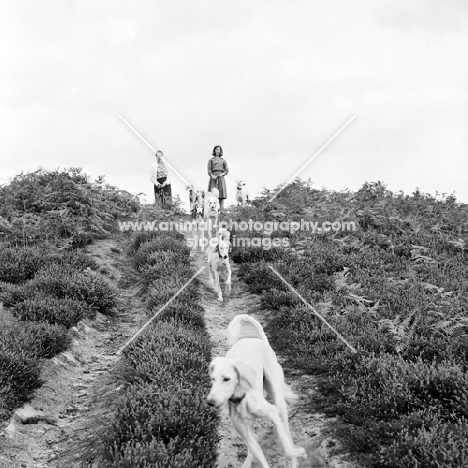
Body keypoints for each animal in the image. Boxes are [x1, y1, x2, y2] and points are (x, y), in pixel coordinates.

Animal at [207, 314, 306, 468]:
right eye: (213, 379)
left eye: (227, 379)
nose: (210, 402)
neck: (241, 399)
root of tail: (257, 340)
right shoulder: (246, 434)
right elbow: (256, 451)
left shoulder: (272, 412)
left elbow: (289, 450)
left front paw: (298, 453)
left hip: (278, 399)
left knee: (287, 433)